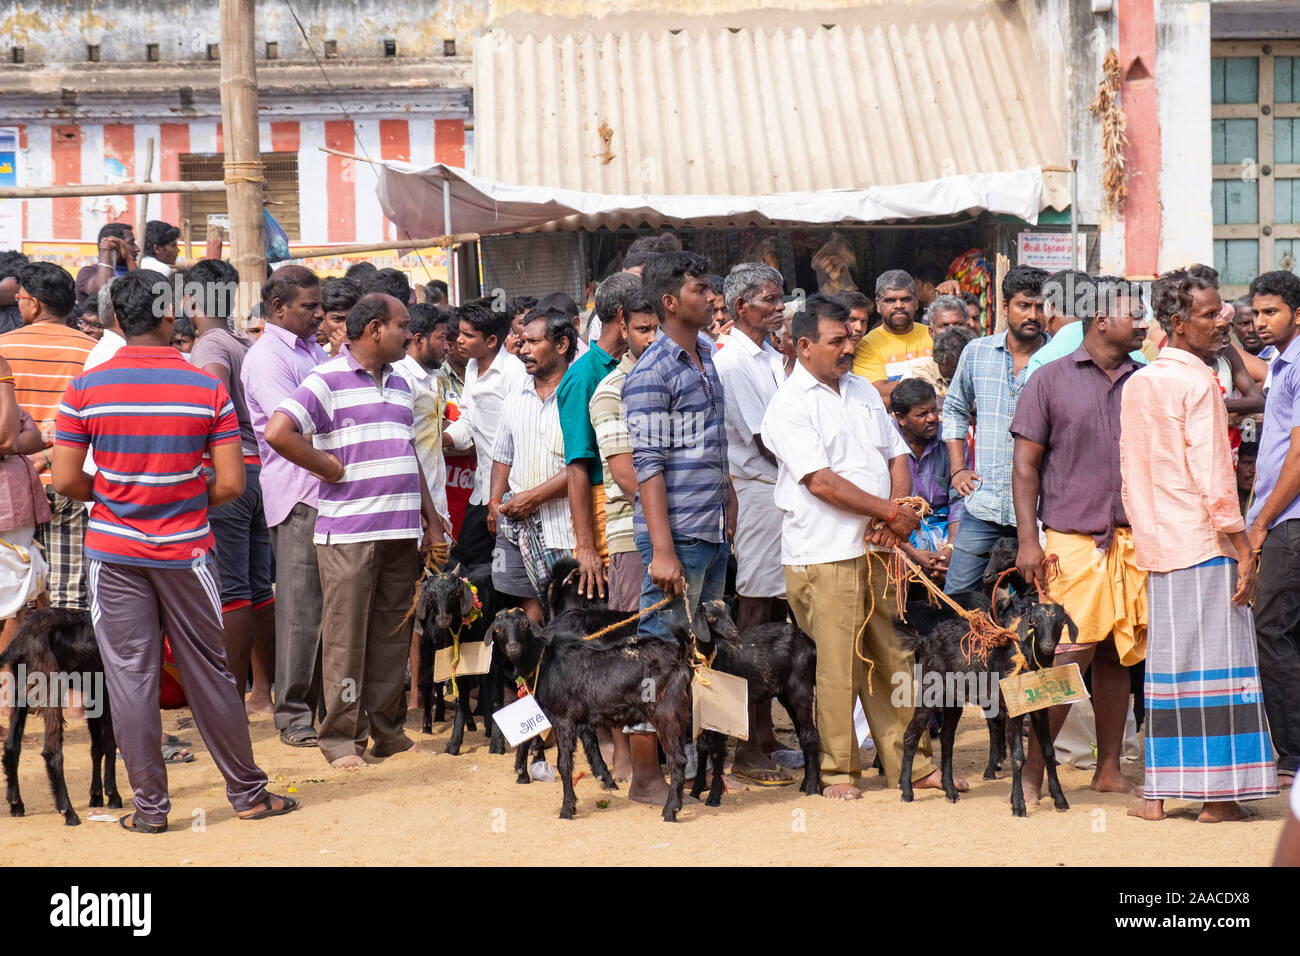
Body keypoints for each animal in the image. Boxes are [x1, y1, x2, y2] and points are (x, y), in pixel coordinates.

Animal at [1, 613, 120, 822]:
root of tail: (21, 638)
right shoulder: (107, 691)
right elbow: (109, 744)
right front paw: (112, 795)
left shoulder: (93, 693)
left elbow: (97, 747)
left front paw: (96, 795)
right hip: (52, 687)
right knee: (51, 751)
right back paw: (68, 812)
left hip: (20, 691)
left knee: (11, 745)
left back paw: (16, 804)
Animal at [496, 600, 696, 816]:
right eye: (498, 629)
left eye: (524, 625)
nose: (513, 648)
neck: (545, 658)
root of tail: (680, 653)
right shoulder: (564, 717)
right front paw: (569, 805)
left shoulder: (563, 717)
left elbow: (564, 762)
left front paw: (567, 808)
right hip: (673, 714)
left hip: (666, 714)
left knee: (677, 759)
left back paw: (668, 810)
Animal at [686, 600, 816, 806]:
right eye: (712, 618)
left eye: (729, 613)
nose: (734, 633)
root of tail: (807, 640)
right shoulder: (704, 714)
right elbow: (702, 748)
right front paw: (695, 793)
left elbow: (717, 752)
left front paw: (714, 797)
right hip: (786, 696)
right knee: (804, 734)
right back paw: (806, 784)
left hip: (801, 689)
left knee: (810, 735)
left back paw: (811, 788)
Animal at [899, 587, 1081, 816]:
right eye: (1034, 622)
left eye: (1059, 622)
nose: (1047, 645)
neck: (1025, 658)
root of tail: (925, 640)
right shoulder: (1013, 710)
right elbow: (1018, 756)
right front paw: (1018, 805)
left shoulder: (1040, 710)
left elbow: (1048, 751)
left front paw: (1060, 800)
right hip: (929, 692)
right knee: (910, 736)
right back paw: (907, 792)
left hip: (953, 701)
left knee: (947, 740)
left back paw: (951, 791)